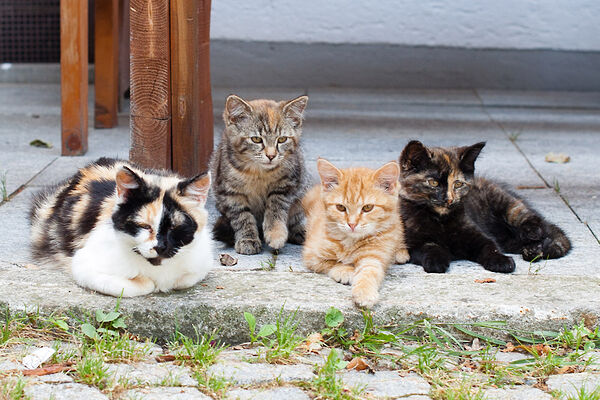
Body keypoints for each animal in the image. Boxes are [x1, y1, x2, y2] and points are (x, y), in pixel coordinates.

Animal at [30, 158, 214, 298]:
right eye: (144, 226)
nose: (160, 247)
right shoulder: (83, 265)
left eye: (175, 227)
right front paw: (150, 283)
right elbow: (143, 285)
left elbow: (185, 279)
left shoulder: (203, 262)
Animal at [210, 94, 310, 253]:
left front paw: (275, 233)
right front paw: (248, 239)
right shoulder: (229, 192)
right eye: (256, 139)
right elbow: (242, 216)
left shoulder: (289, 183)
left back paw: (300, 232)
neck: (259, 172)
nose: (271, 155)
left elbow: (275, 206)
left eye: (282, 139)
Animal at [302, 158, 410, 308]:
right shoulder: (311, 254)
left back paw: (400, 252)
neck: (350, 242)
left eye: (368, 207)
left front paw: (365, 292)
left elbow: (370, 271)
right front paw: (345, 271)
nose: (352, 224)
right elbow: (331, 262)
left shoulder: (373, 256)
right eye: (340, 207)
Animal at [398, 139, 572, 274]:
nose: (450, 199)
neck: (440, 220)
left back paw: (534, 238)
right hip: (509, 239)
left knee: (535, 223)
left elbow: (490, 246)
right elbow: (430, 246)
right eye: (433, 183)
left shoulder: (477, 234)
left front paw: (501, 261)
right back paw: (534, 250)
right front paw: (436, 261)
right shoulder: (411, 244)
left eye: (458, 184)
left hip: (507, 205)